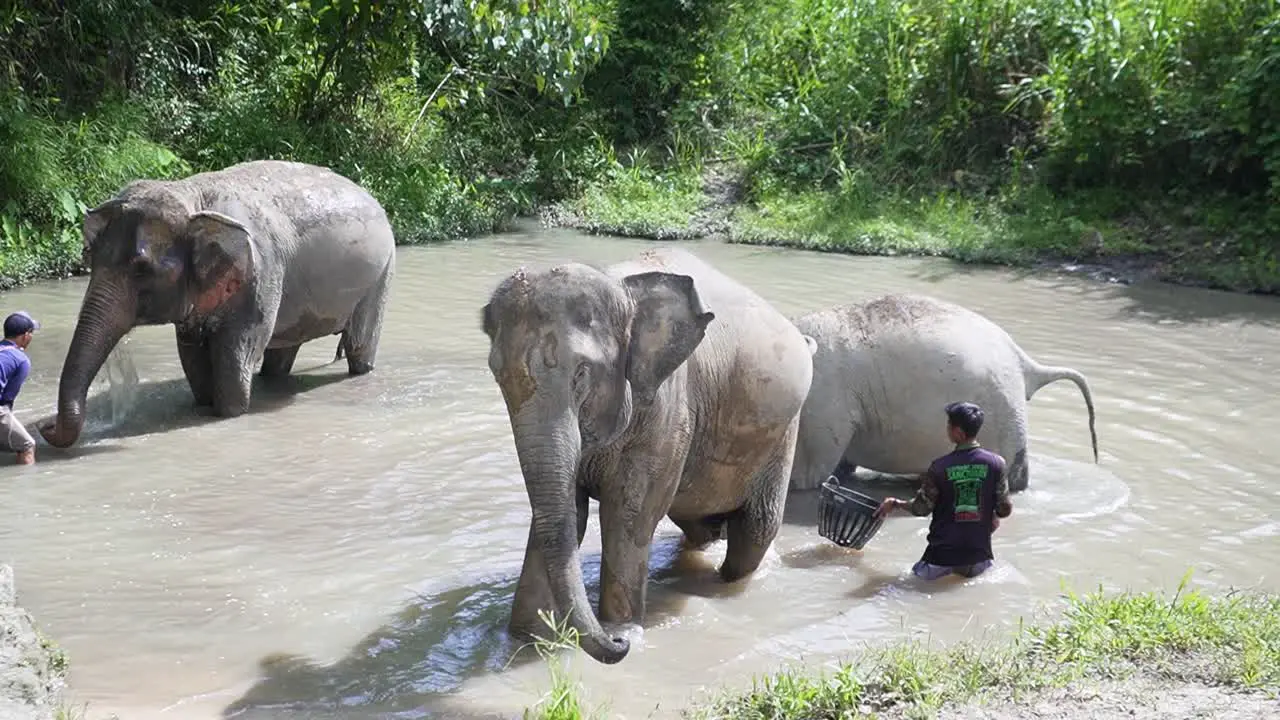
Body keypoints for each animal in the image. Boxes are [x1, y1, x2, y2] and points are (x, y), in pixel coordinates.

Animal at [40, 159, 394, 445]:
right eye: (89, 257)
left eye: (141, 269)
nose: (46, 427)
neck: (190, 194)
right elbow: (192, 353)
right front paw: (202, 406)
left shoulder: (260, 274)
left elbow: (235, 350)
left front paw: (228, 413)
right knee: (281, 355)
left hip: (380, 275)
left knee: (360, 345)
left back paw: (359, 370)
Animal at [476, 244, 814, 661]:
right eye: (497, 375)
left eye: (581, 374)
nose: (616, 646)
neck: (619, 287)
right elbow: (566, 511)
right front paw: (525, 638)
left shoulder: (667, 402)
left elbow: (628, 515)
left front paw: (623, 633)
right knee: (698, 523)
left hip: (782, 432)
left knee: (755, 529)